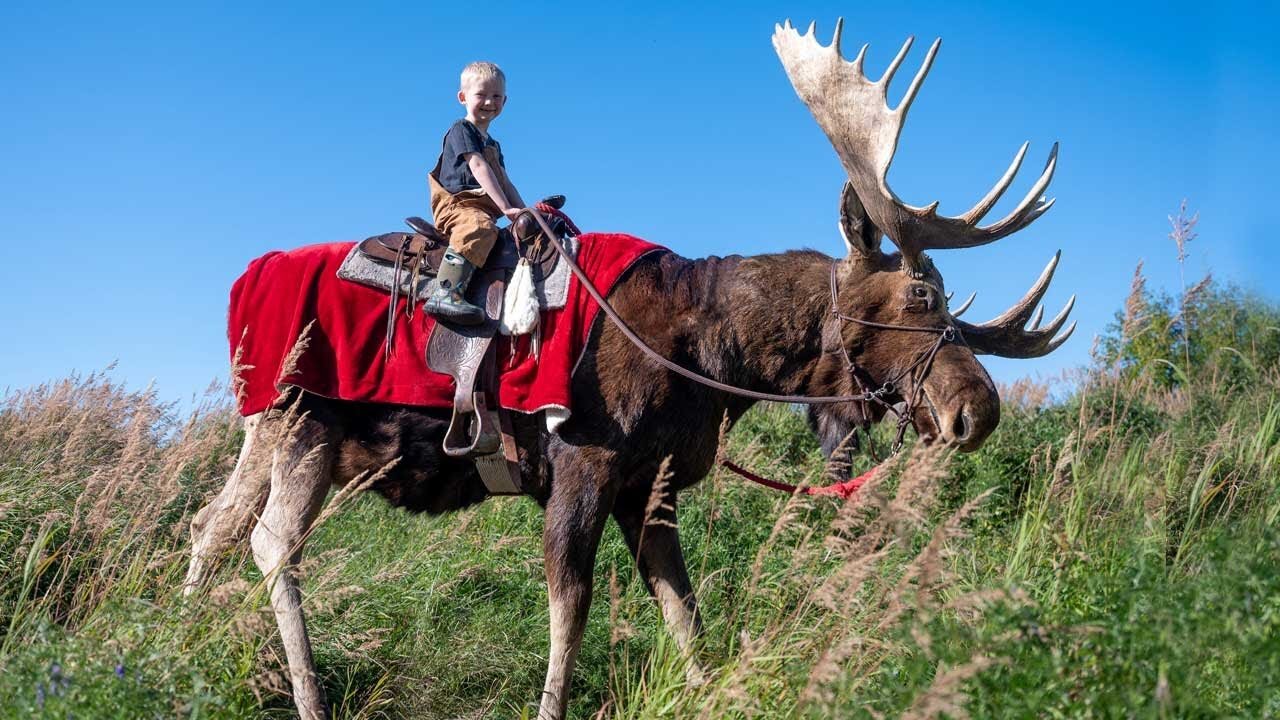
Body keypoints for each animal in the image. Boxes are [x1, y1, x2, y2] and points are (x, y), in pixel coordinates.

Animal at [185, 20, 1075, 717]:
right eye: (922, 292)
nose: (978, 409)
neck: (712, 353)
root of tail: (241, 281)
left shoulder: (654, 484)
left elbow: (685, 613)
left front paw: (710, 691)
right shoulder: (586, 462)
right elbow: (571, 609)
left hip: (270, 427)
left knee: (212, 525)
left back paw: (177, 636)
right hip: (306, 421)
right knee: (273, 542)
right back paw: (307, 694)